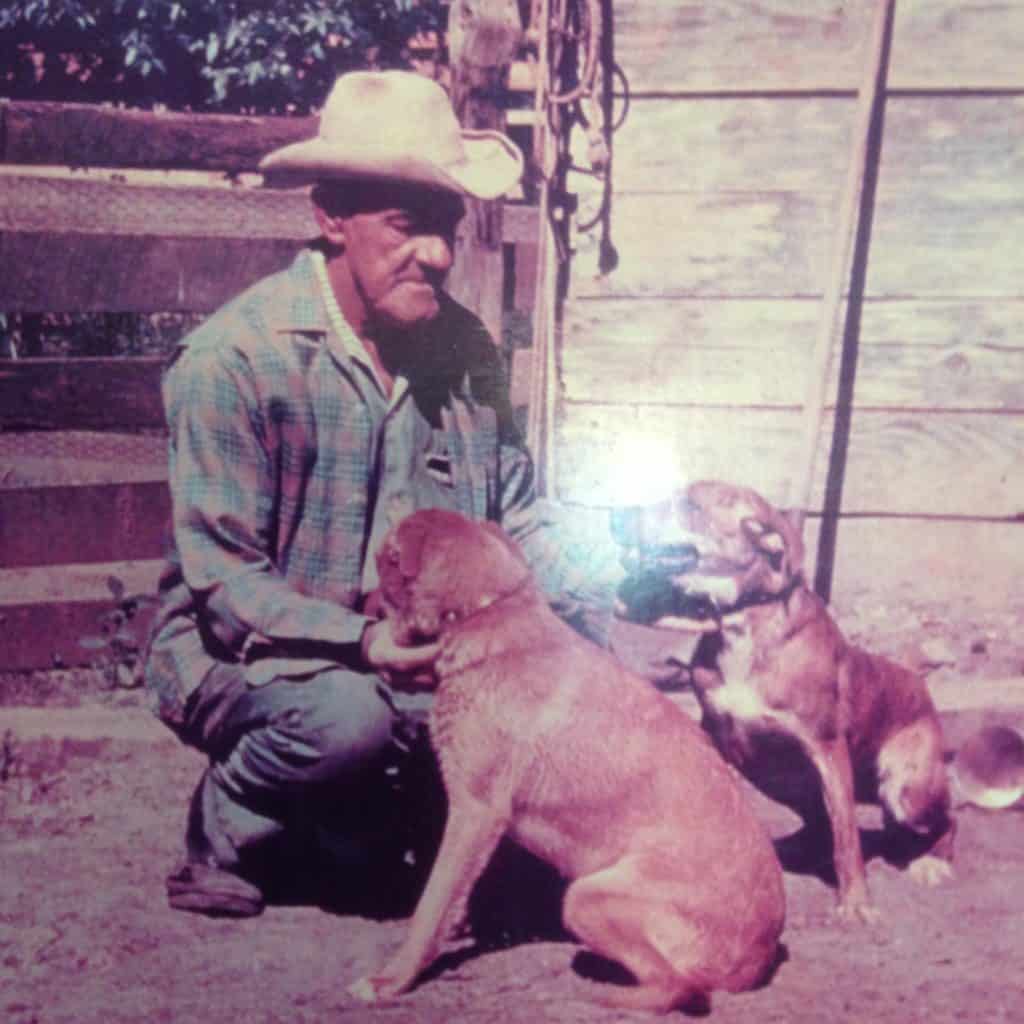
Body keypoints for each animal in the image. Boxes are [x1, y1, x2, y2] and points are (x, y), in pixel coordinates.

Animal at [348, 507, 786, 1011]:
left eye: (383, 558)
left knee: (680, 986)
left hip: (584, 899)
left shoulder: (475, 812)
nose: (361, 603)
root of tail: (759, 956)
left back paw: (599, 994)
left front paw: (391, 980)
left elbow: (429, 907)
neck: (490, 611)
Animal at [614, 479, 958, 921]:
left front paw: (856, 902)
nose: (612, 516)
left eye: (689, 505)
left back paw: (933, 862)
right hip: (779, 778)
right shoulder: (716, 733)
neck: (744, 621)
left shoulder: (827, 750)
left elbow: (847, 837)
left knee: (947, 818)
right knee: (819, 824)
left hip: (907, 791)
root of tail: (915, 678)